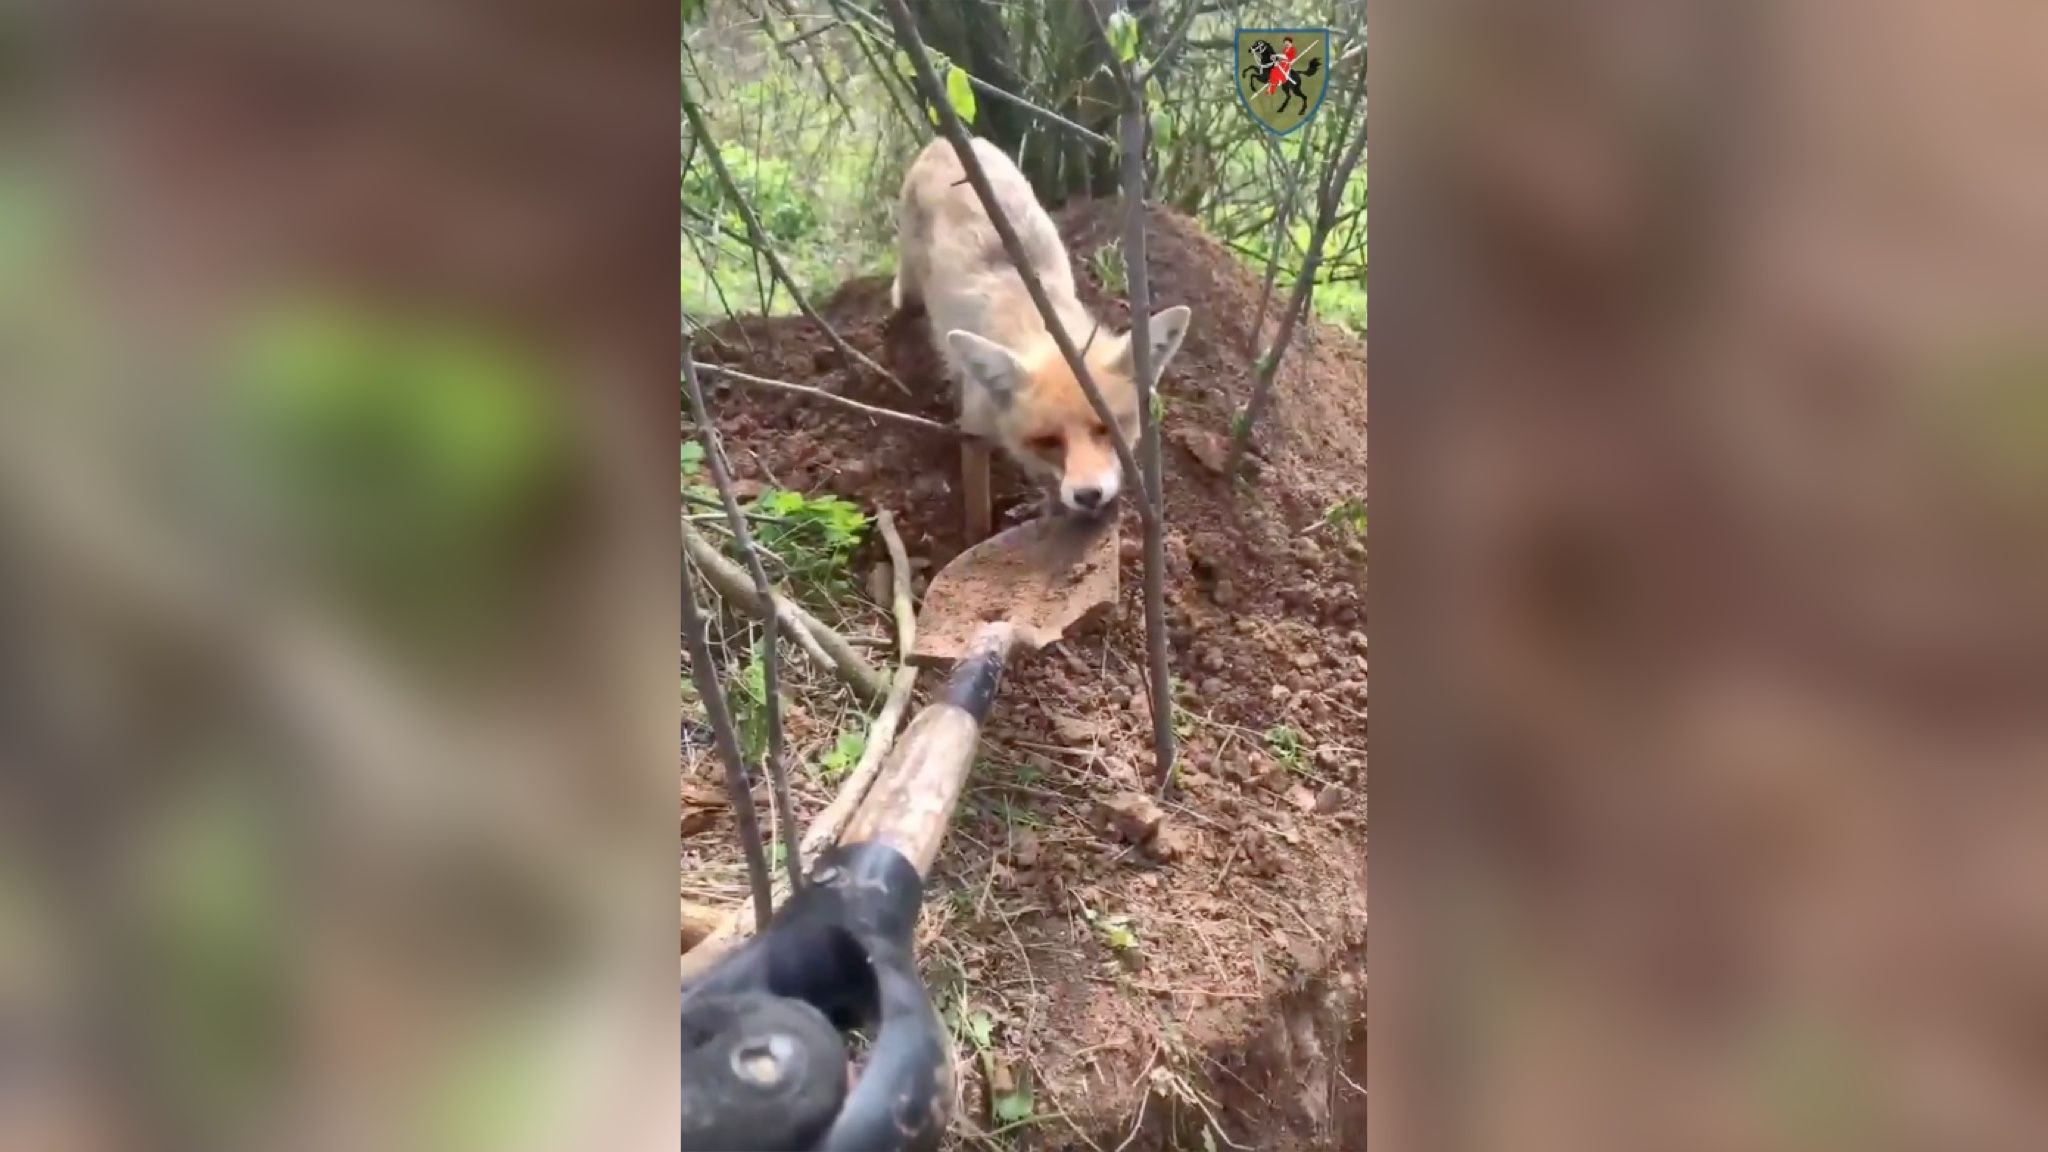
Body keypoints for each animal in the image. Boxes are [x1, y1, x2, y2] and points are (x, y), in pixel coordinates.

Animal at [888, 135, 1196, 541]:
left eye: (1107, 428)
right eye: (1048, 440)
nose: (1088, 495)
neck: (1038, 323)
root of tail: (947, 141)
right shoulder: (975, 434)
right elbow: (978, 515)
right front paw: (978, 539)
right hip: (911, 283)